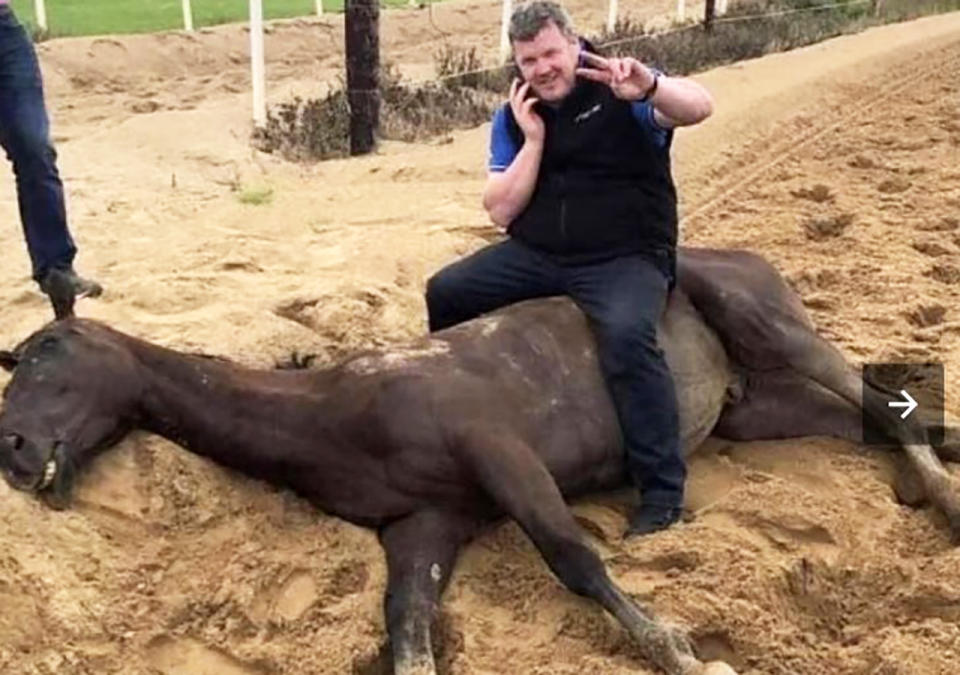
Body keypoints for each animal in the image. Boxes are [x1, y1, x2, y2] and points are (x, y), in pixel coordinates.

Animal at [1, 250, 960, 675]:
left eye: (47, 354)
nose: (11, 448)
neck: (335, 412)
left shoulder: (501, 453)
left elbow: (574, 558)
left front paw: (685, 653)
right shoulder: (423, 526)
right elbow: (408, 631)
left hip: (768, 323)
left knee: (875, 397)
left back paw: (945, 500)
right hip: (753, 408)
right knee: (876, 418)